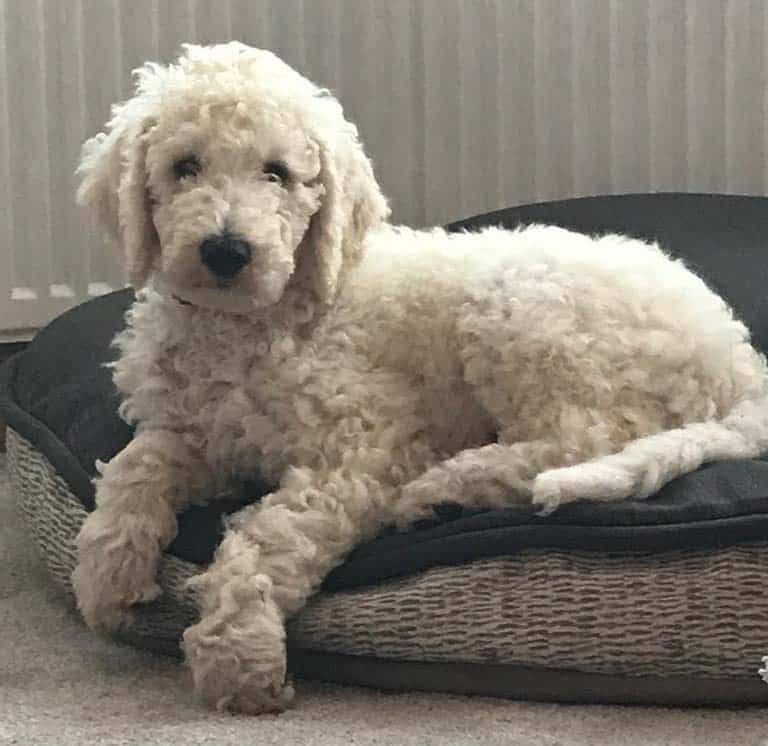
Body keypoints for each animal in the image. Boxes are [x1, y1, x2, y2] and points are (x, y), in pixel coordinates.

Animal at [70, 39, 768, 708]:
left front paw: (238, 655)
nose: (225, 251)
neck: (247, 323)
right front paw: (107, 574)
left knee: (578, 441)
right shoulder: (201, 432)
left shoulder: (366, 448)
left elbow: (272, 534)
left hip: (523, 313)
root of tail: (736, 359)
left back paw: (446, 485)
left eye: (278, 173)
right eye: (184, 166)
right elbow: (136, 465)